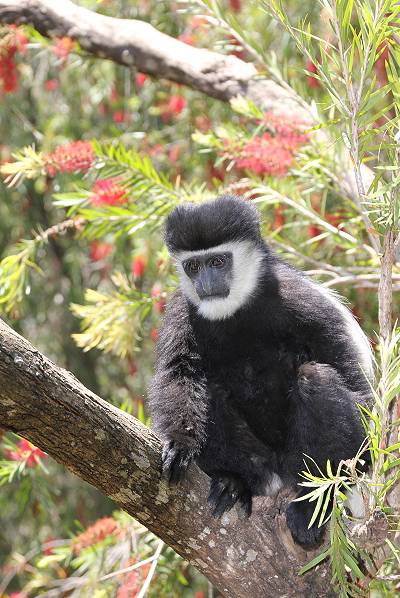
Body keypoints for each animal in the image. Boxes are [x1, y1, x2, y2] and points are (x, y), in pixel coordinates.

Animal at [148, 196, 374, 548]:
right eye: (193, 266)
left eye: (218, 262)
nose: (205, 284)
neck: (237, 313)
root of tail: (278, 476)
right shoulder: (181, 311)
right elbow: (180, 374)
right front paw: (178, 446)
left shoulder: (303, 301)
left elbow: (352, 379)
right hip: (258, 460)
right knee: (209, 388)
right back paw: (234, 484)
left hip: (298, 459)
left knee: (317, 379)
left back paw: (313, 502)